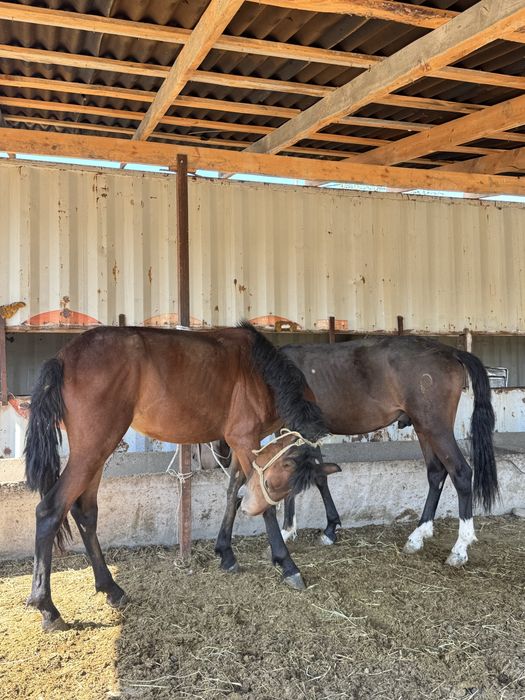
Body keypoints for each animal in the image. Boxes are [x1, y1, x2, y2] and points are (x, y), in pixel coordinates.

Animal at [24, 322, 335, 631]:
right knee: (50, 510)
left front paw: (226, 553)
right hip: (94, 448)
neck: (259, 369)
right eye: (271, 483)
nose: (251, 510)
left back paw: (111, 588)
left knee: (85, 512)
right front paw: (286, 564)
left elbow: (232, 492)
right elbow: (265, 507)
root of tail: (64, 357)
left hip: (97, 451)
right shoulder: (245, 439)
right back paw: (47, 607)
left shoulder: (239, 443)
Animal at [217, 335, 498, 574]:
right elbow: (316, 477)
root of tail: (450, 352)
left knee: (461, 473)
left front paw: (289, 531)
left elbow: (301, 479)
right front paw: (326, 529)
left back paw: (460, 548)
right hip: (423, 427)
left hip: (435, 427)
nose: (223, 453)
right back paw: (418, 535)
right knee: (436, 473)